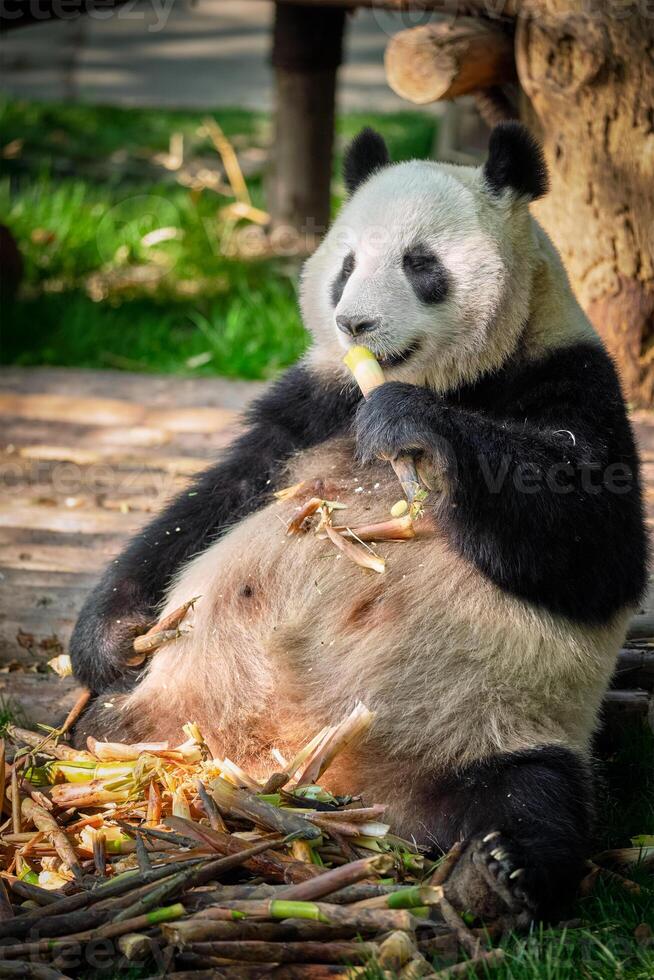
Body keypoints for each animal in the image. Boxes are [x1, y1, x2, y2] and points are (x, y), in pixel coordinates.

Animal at [70, 124, 652, 928]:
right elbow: (213, 501)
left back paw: (497, 872)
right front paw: (109, 635)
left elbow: (595, 543)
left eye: (421, 265)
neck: (457, 380)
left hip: (493, 724)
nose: (354, 323)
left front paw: (413, 425)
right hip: (161, 715)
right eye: (346, 264)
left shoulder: (572, 379)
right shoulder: (314, 403)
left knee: (534, 796)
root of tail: (311, 776)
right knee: (97, 730)